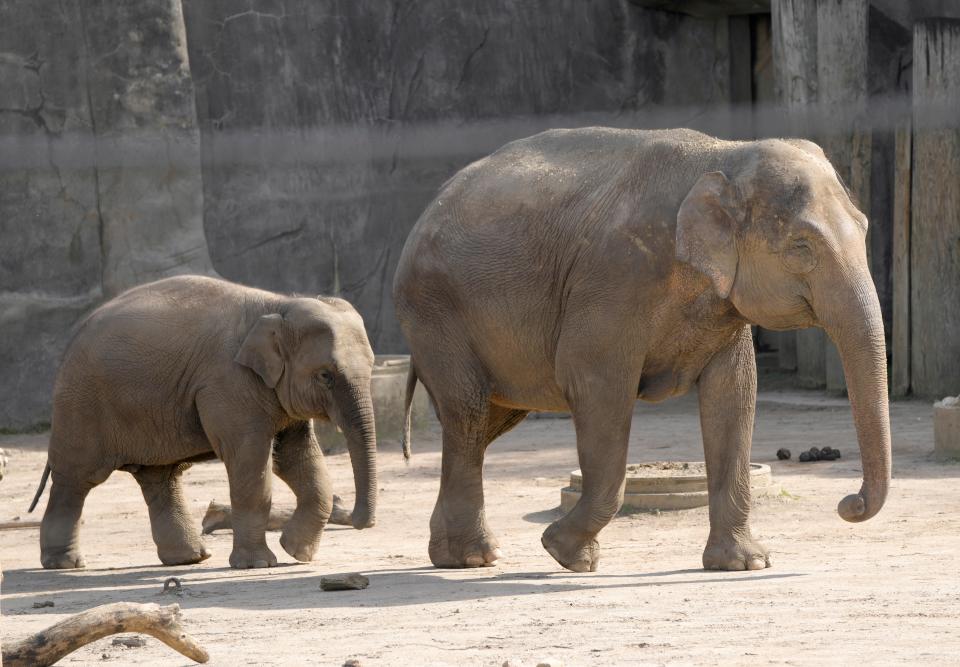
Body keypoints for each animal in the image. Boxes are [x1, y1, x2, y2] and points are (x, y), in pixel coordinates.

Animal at [31, 274, 376, 572]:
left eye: (373, 366)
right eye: (325, 375)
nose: (363, 522)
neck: (279, 305)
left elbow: (298, 459)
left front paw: (297, 552)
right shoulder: (230, 383)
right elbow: (251, 461)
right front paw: (258, 565)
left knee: (160, 478)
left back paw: (189, 559)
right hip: (81, 404)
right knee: (76, 478)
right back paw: (65, 564)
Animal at [392, 126, 892, 576]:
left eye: (867, 228)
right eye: (801, 247)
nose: (848, 503)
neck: (725, 155)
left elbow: (734, 394)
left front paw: (744, 564)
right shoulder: (615, 278)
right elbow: (595, 385)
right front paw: (566, 554)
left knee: (484, 423)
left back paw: (457, 556)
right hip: (435, 310)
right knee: (470, 413)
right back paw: (473, 558)